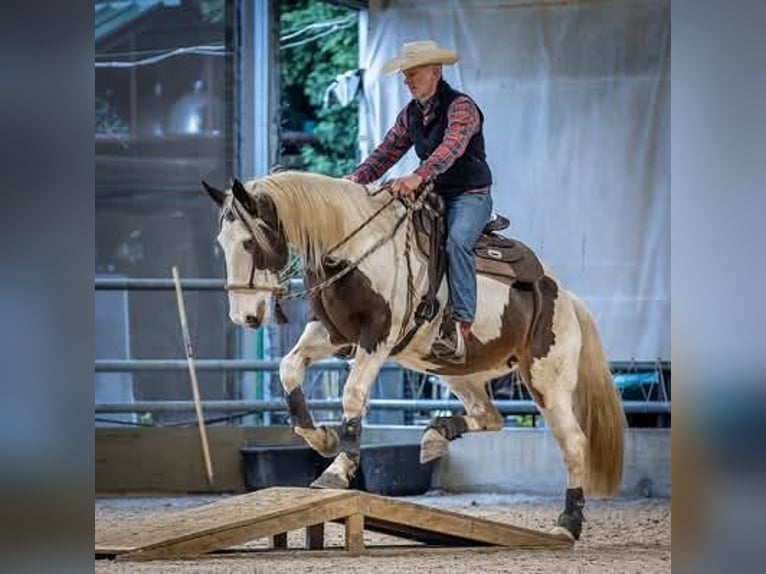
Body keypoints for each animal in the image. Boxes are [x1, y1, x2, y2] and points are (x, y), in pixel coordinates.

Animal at [203, 171, 625, 541]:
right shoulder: (333, 335)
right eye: (221, 242)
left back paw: (568, 523)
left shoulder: (378, 337)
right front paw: (321, 438)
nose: (244, 317)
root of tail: (567, 299)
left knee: (573, 443)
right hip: (456, 372)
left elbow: (353, 394)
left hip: (545, 380)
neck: (356, 247)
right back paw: (436, 435)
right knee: (490, 417)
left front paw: (338, 468)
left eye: (250, 242)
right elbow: (289, 368)